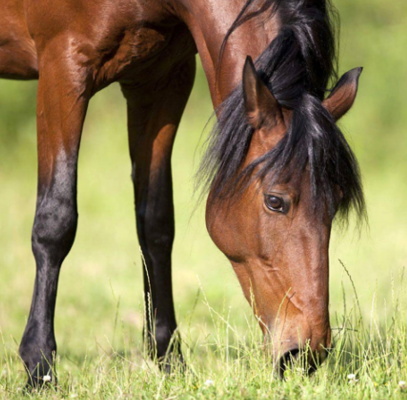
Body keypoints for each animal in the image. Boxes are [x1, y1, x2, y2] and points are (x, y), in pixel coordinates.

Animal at [0, 0, 364, 386]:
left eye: (337, 202)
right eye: (275, 201)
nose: (307, 352)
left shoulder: (160, 82)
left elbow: (155, 224)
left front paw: (170, 360)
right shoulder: (63, 67)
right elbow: (56, 221)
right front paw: (39, 367)